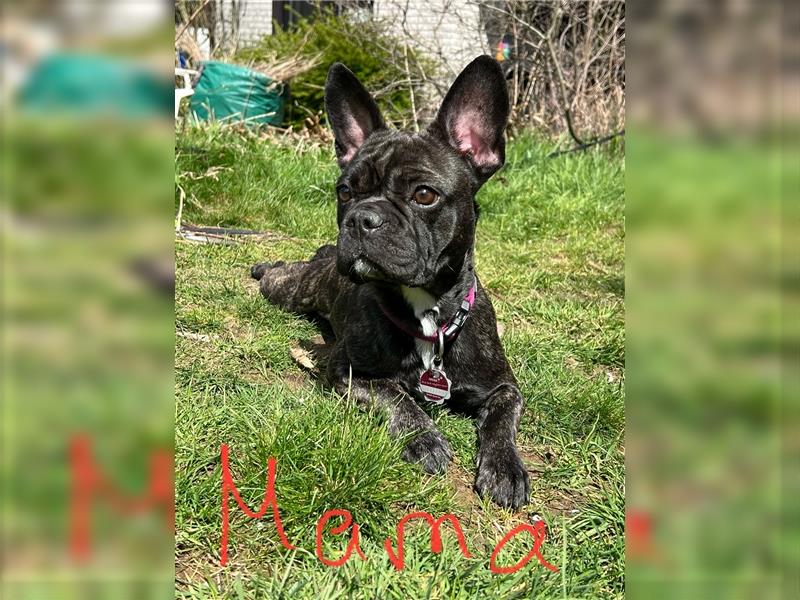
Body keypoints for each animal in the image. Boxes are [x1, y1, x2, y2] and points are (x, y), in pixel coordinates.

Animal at [255, 56, 532, 508]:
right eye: (345, 191)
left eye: (424, 195)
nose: (360, 218)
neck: (429, 317)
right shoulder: (347, 372)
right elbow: (396, 395)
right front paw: (423, 439)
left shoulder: (504, 387)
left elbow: (502, 422)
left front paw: (505, 466)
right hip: (290, 290)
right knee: (280, 273)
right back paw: (264, 266)